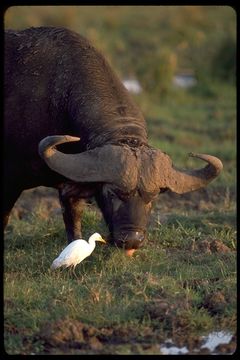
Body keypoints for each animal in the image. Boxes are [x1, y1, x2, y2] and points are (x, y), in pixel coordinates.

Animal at [3, 27, 223, 250]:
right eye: (112, 193)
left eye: (153, 196)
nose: (132, 239)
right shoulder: (10, 181)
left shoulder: (72, 181)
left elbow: (73, 219)